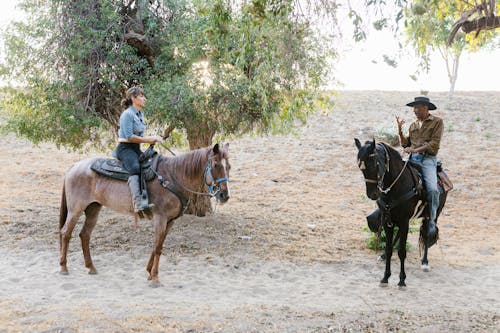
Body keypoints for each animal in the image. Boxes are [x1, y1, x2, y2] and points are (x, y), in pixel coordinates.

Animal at [59, 143, 230, 286]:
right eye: (216, 165)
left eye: (228, 166)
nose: (224, 195)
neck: (172, 177)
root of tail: (74, 167)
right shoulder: (160, 218)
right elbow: (158, 247)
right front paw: (155, 278)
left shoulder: (170, 221)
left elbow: (157, 245)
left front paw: (149, 272)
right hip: (75, 210)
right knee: (65, 233)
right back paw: (63, 267)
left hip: (93, 209)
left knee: (84, 235)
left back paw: (91, 268)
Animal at [356, 138, 450, 288]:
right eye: (360, 167)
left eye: (375, 165)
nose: (372, 194)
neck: (397, 186)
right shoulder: (388, 220)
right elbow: (389, 249)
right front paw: (385, 277)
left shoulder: (404, 220)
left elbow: (402, 251)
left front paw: (401, 280)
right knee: (400, 234)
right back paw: (383, 257)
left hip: (434, 213)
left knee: (428, 232)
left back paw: (425, 262)